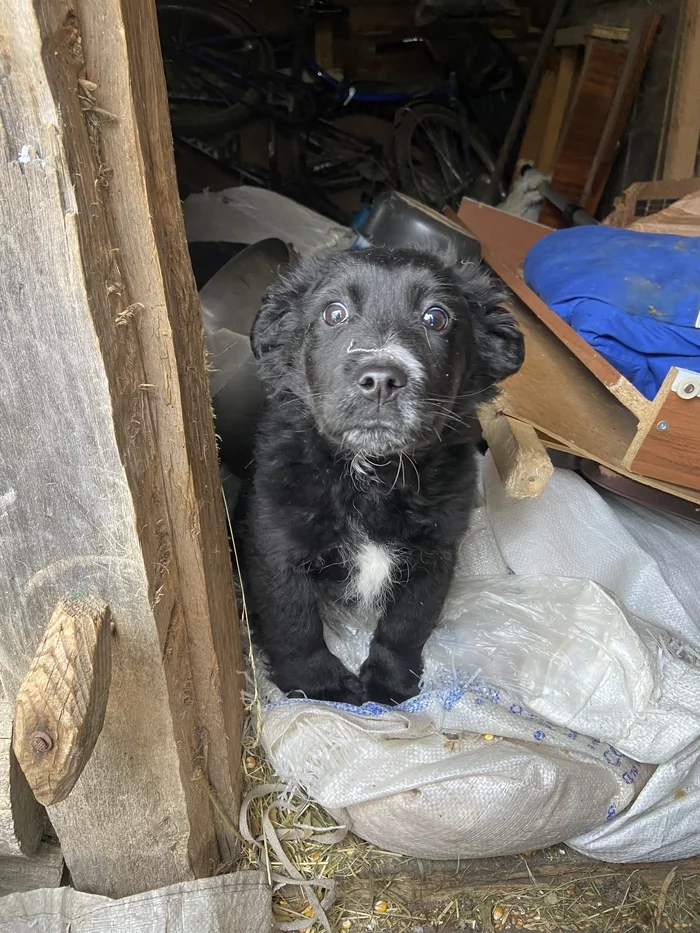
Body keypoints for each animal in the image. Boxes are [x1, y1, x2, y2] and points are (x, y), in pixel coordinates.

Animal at [243, 248, 524, 708]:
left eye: (436, 317)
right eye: (334, 313)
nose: (379, 380)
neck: (373, 472)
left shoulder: (436, 554)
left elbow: (406, 625)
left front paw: (389, 683)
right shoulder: (276, 550)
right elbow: (295, 625)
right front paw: (319, 686)